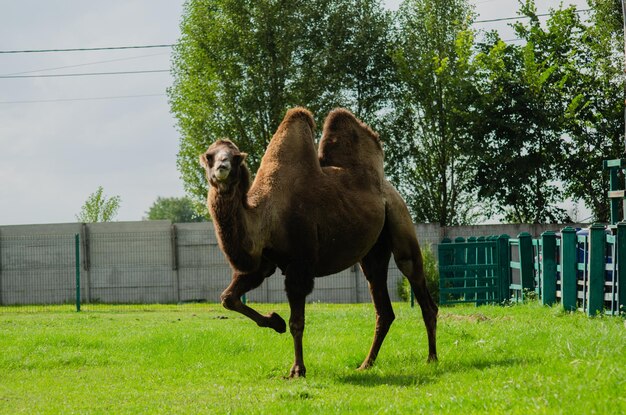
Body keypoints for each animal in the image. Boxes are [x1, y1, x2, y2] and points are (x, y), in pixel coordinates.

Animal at [199, 108, 434, 380]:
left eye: (235, 158)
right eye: (210, 156)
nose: (222, 168)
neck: (267, 213)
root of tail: (389, 188)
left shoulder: (300, 266)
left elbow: (297, 322)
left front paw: (297, 369)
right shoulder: (263, 264)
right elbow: (228, 298)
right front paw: (275, 321)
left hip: (400, 219)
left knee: (418, 283)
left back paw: (432, 358)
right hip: (374, 251)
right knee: (383, 306)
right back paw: (366, 363)